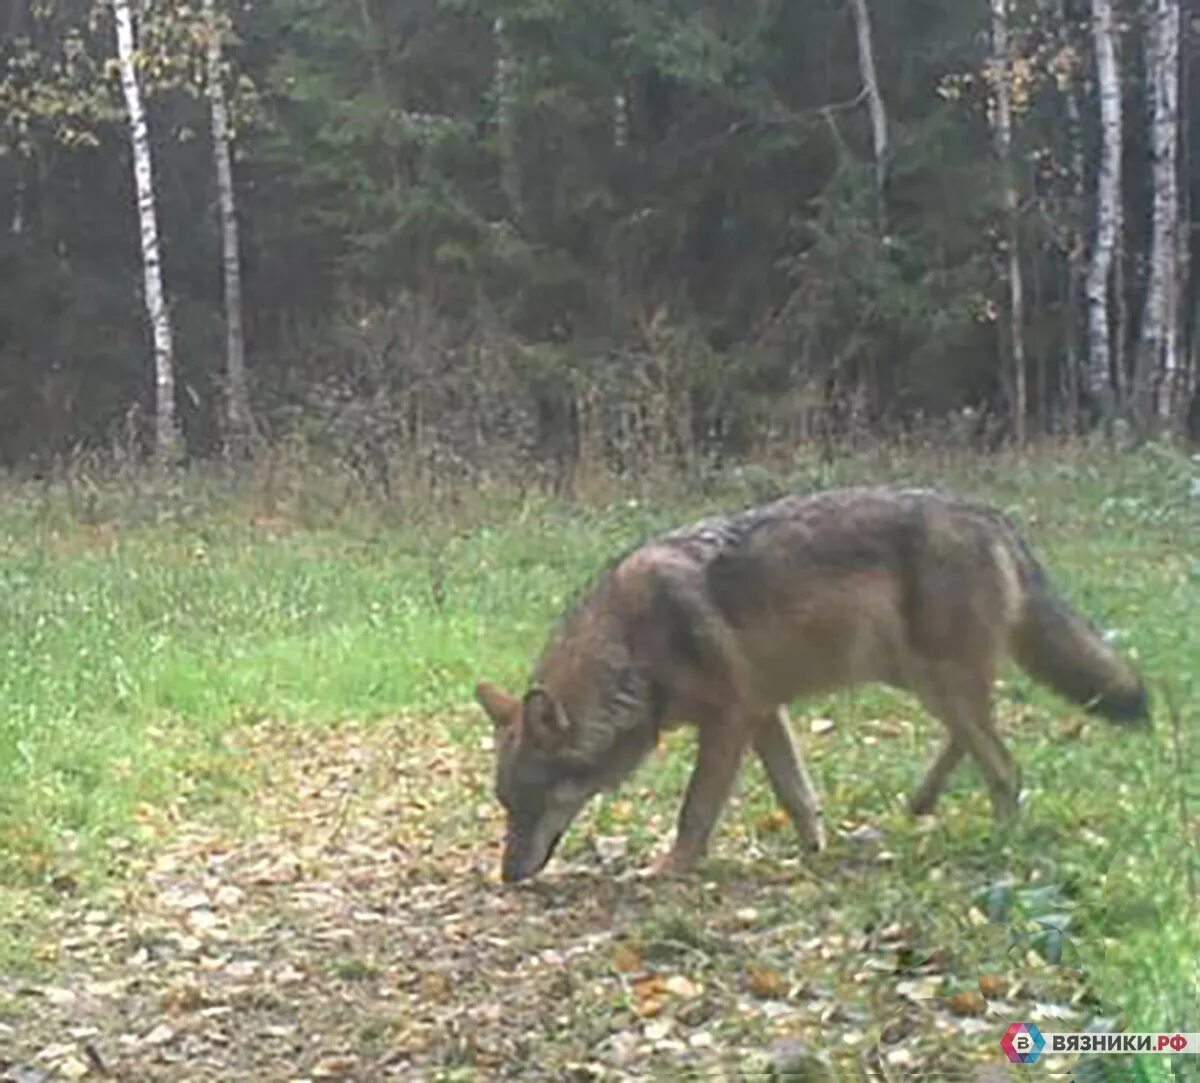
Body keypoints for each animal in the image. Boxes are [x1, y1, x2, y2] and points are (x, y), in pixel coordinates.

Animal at [472, 487, 1147, 888]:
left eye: (530, 804)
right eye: (508, 806)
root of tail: (993, 517)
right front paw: (814, 850)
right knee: (974, 739)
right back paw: (921, 802)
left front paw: (668, 868)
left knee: (1005, 765)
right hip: (921, 680)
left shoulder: (729, 719)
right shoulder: (765, 712)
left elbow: (695, 811)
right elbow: (796, 795)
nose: (508, 875)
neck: (631, 649)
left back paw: (999, 845)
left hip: (933, 681)